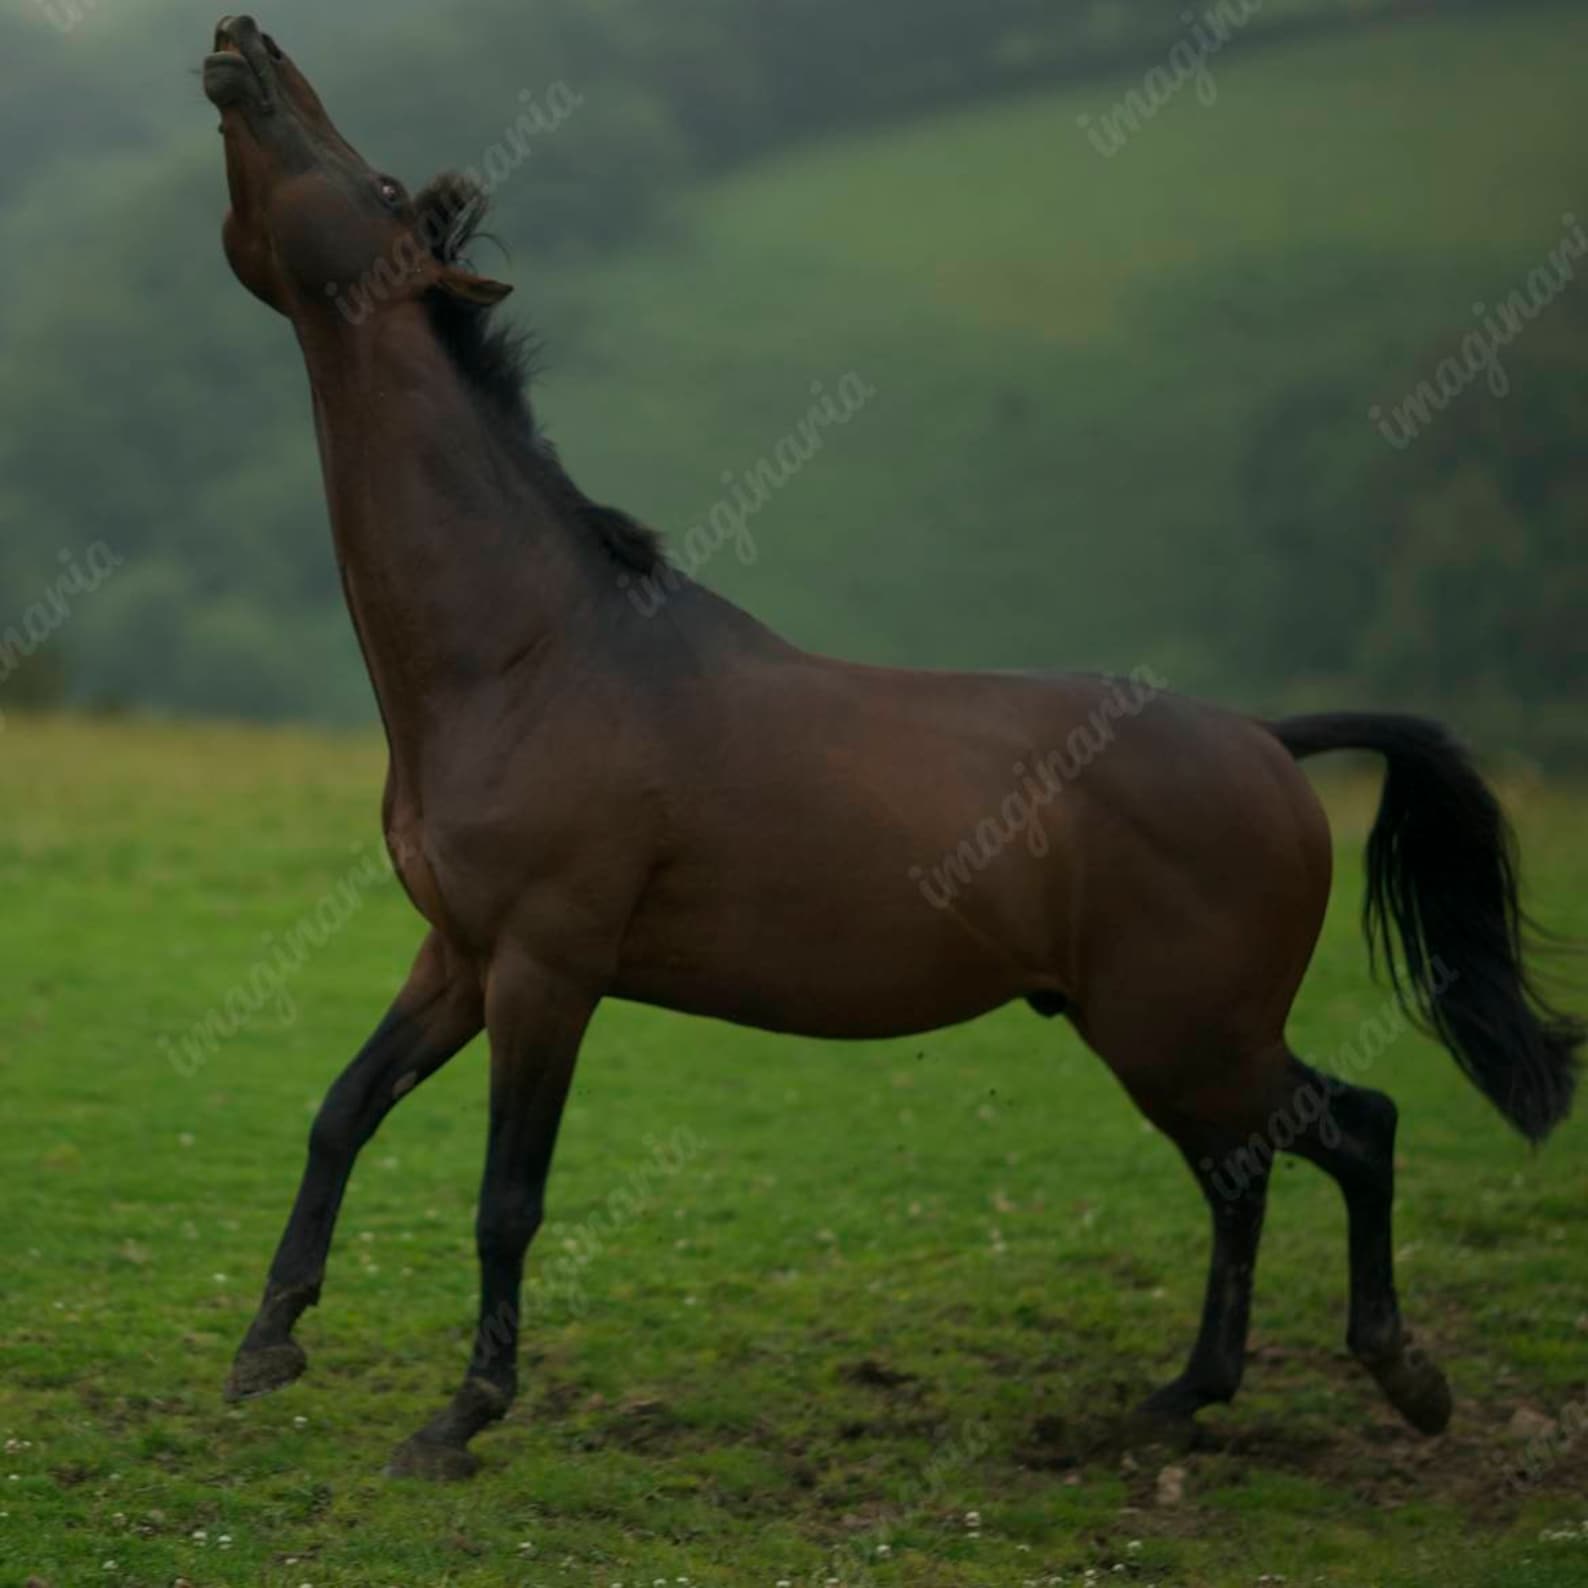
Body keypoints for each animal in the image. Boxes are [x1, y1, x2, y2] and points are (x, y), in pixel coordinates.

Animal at [202, 15, 1581, 1479]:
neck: (530, 653)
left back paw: (1400, 1377)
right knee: (1251, 1170)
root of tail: (1268, 741)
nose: (243, 40)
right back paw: (1181, 1396)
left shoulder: (545, 966)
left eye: (380, 183)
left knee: (1350, 1133)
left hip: (1186, 1030)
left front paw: (458, 1419)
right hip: (1171, 1039)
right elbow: (341, 1109)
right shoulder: (458, 955)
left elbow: (505, 1199)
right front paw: (267, 1346)